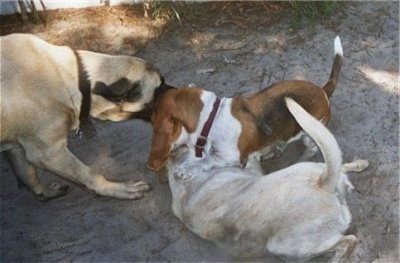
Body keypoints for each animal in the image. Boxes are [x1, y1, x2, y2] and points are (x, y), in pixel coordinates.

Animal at [1, 34, 173, 201]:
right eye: (160, 88)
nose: (177, 91)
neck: (76, 81)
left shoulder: (15, 147)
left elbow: (28, 175)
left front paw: (45, 192)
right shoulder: (49, 153)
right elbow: (90, 175)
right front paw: (118, 189)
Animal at [147, 35, 344, 175]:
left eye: (154, 121)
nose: (151, 164)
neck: (210, 118)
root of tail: (322, 90)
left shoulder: (231, 157)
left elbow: (206, 161)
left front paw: (186, 170)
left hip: (310, 133)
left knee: (312, 149)